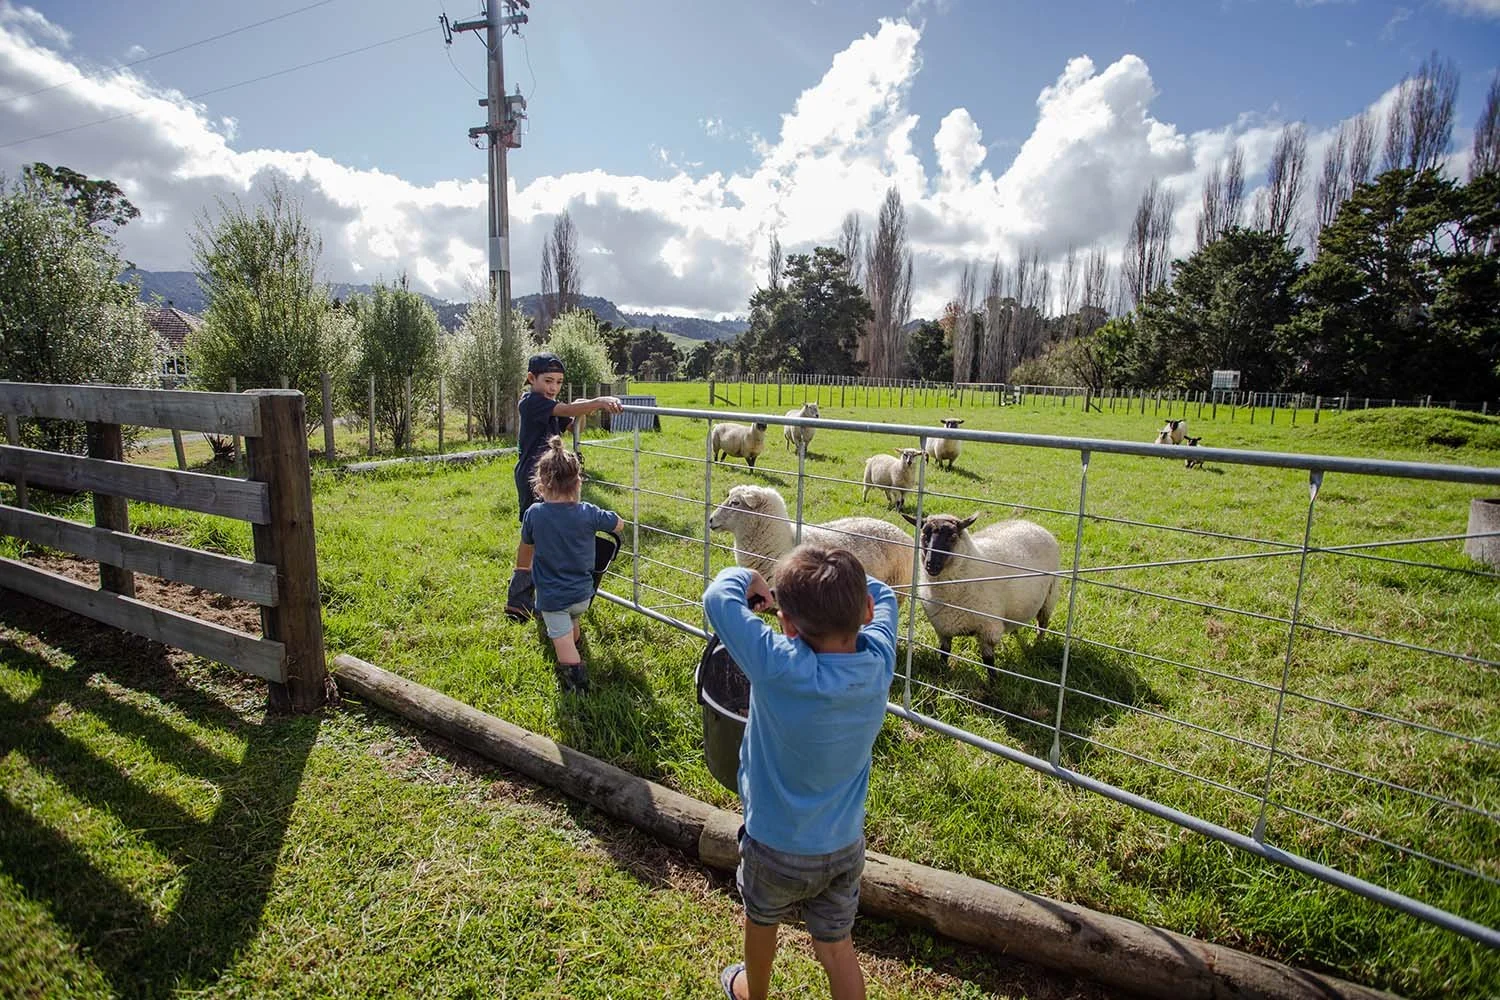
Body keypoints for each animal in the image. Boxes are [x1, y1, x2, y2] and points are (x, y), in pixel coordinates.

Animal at [901, 511, 1060, 669]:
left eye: (952, 536)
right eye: (924, 535)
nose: (931, 564)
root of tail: (1031, 524)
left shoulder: (988, 629)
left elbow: (989, 662)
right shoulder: (942, 629)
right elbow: (944, 654)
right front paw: (942, 671)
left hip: (1050, 597)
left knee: (1042, 625)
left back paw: (1037, 645)